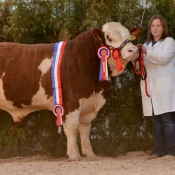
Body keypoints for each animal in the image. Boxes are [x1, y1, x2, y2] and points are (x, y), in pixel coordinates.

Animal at [0, 22, 139, 161]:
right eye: (110, 38)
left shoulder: (88, 105)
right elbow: (72, 129)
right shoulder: (72, 101)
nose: (134, 50)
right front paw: (74, 155)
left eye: (129, 37)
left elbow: (85, 131)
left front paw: (90, 154)